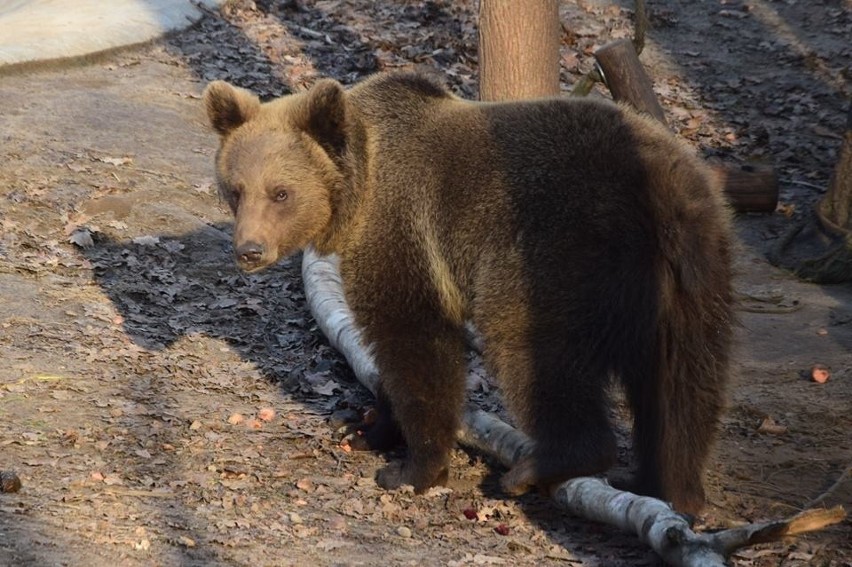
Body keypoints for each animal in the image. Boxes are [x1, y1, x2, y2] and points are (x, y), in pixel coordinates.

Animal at [205, 70, 732, 516]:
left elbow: (415, 344)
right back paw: (668, 486)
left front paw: (410, 468)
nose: (249, 250)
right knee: (683, 383)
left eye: (281, 192)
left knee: (532, 349)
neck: (358, 194)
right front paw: (363, 426)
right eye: (236, 188)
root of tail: (661, 197)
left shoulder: (405, 232)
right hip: (695, 273)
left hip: (559, 252)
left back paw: (544, 464)